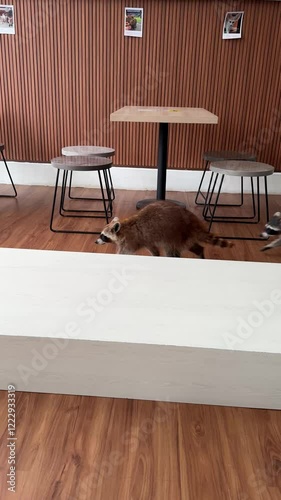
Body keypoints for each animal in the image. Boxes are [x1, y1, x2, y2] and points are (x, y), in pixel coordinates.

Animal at [95, 201, 233, 260]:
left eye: (103, 236)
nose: (96, 242)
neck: (123, 227)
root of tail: (191, 221)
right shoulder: (146, 239)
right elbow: (154, 250)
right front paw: (156, 255)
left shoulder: (132, 240)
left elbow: (125, 252)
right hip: (185, 236)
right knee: (193, 246)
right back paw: (200, 252)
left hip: (174, 234)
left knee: (171, 251)